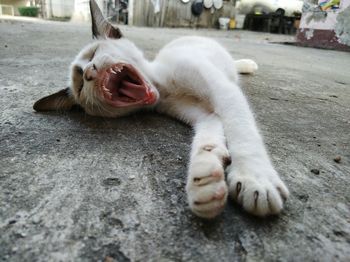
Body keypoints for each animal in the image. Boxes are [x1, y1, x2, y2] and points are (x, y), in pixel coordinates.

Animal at [33, 0, 290, 219]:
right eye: (79, 86)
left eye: (93, 54)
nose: (88, 73)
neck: (164, 88)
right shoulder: (202, 113)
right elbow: (208, 134)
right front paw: (205, 178)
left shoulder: (222, 90)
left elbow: (241, 127)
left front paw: (255, 179)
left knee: (234, 69)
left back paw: (247, 65)